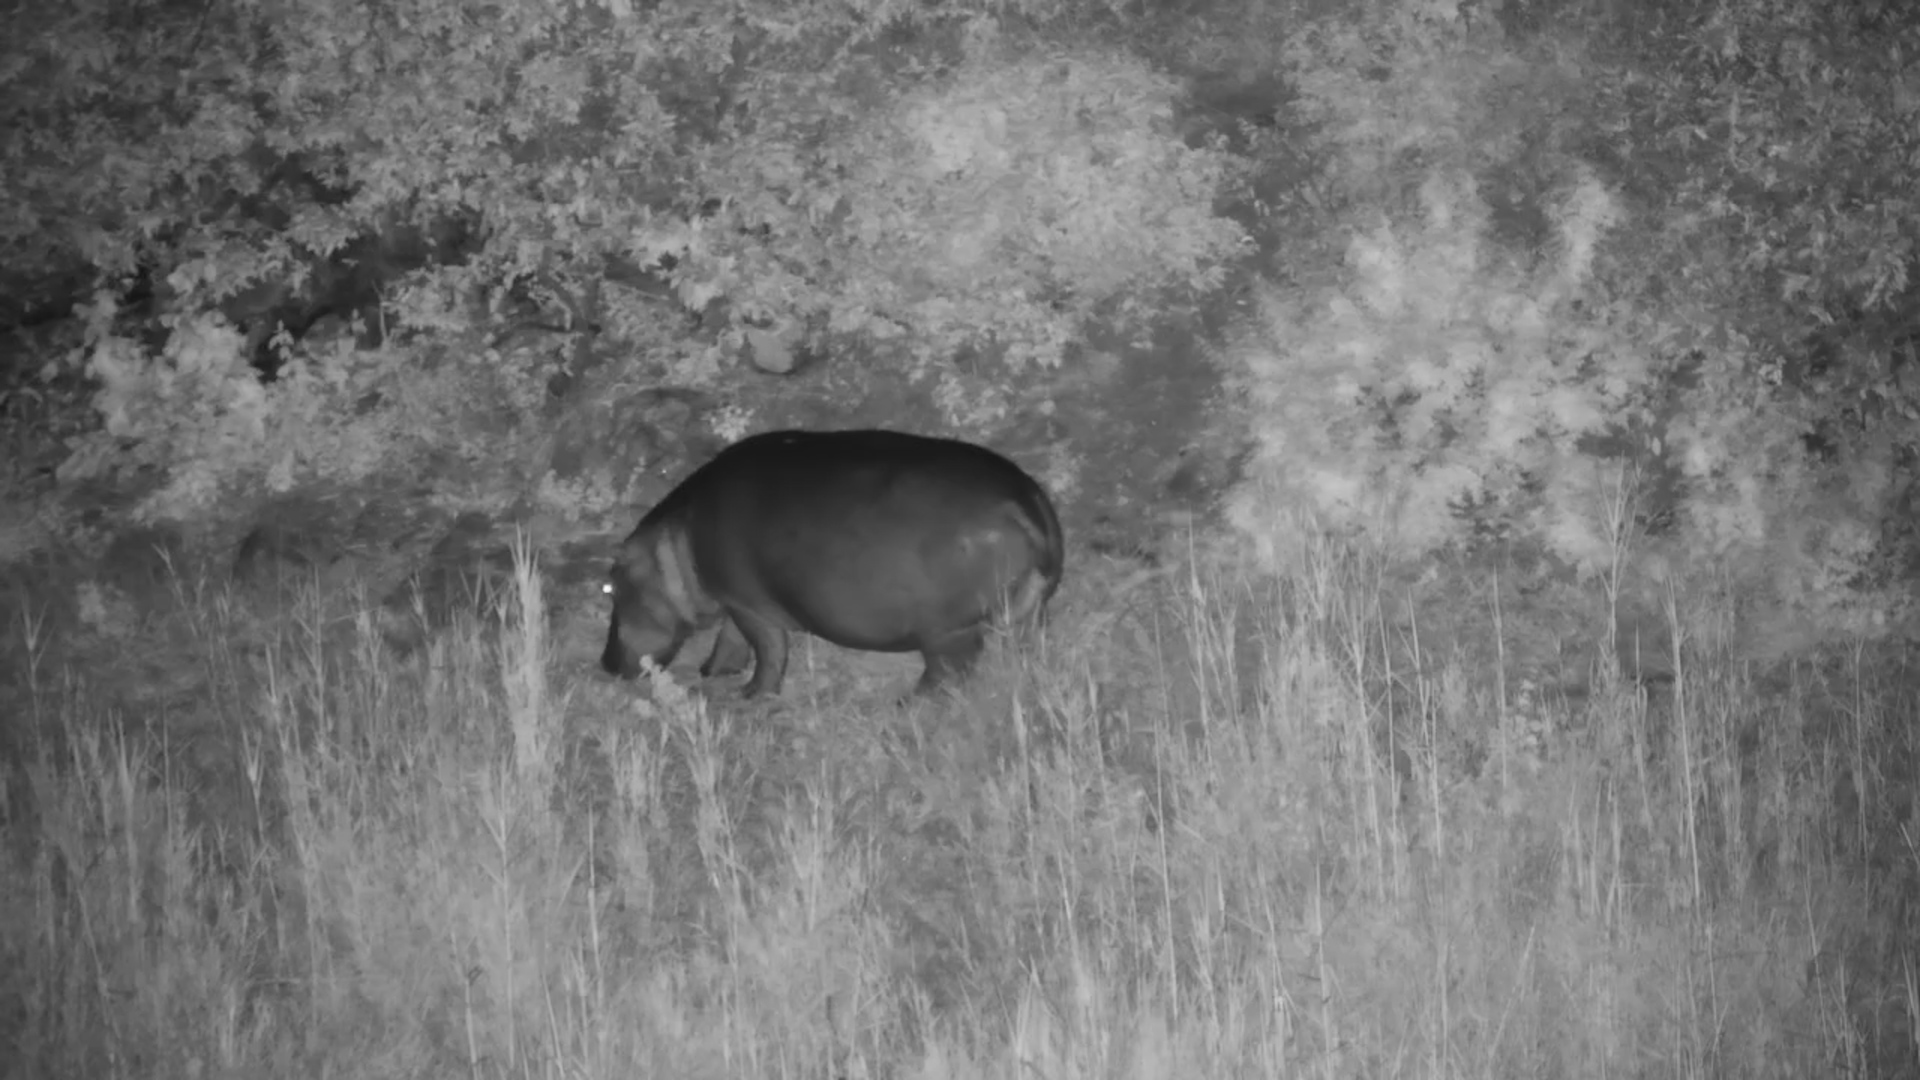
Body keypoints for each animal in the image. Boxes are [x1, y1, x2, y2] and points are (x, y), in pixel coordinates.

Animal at [602, 429, 1064, 696]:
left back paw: (906, 702)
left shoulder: (747, 604)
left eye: (609, 586)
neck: (674, 542)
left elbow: (767, 650)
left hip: (947, 631)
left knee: (947, 672)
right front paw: (711, 671)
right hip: (1030, 609)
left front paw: (748, 695)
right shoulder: (734, 600)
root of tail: (1024, 504)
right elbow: (732, 639)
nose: (605, 665)